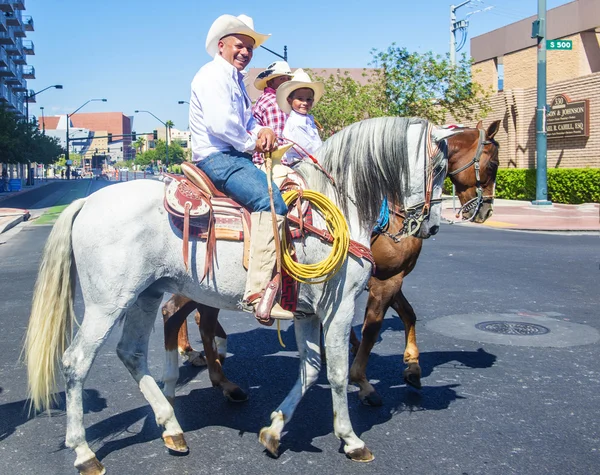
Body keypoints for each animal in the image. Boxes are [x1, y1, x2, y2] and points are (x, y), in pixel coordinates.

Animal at [23, 117, 458, 474]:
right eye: (439, 168)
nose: (433, 226)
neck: (336, 207)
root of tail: (86, 202)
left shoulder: (307, 313)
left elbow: (310, 370)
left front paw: (274, 431)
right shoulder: (339, 308)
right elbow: (335, 372)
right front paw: (351, 440)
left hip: (145, 294)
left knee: (131, 353)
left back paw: (171, 427)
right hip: (107, 302)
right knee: (76, 362)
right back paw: (85, 453)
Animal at [162, 120, 500, 406]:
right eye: (494, 163)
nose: (484, 210)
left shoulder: (386, 277)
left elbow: (407, 315)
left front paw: (411, 366)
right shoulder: (385, 281)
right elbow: (374, 328)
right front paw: (363, 381)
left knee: (194, 318)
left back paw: (213, 370)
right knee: (184, 315)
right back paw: (207, 364)